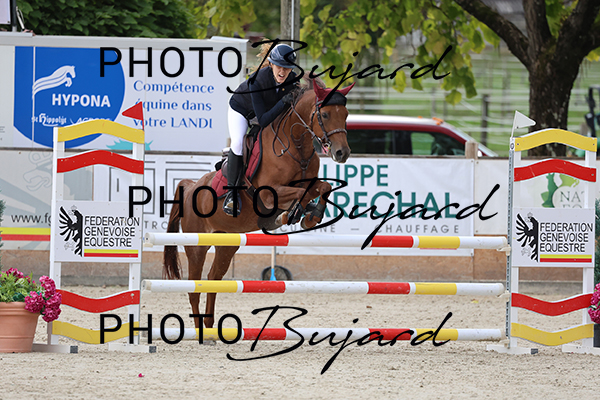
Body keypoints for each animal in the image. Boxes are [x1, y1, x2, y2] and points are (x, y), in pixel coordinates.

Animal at [163, 78, 354, 329]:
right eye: (325, 114)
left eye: (346, 114)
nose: (342, 153)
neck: (296, 147)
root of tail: (191, 188)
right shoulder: (269, 195)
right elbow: (300, 193)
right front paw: (289, 215)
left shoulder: (309, 183)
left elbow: (323, 187)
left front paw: (311, 216)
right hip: (197, 246)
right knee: (194, 289)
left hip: (227, 243)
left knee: (213, 279)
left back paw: (211, 328)